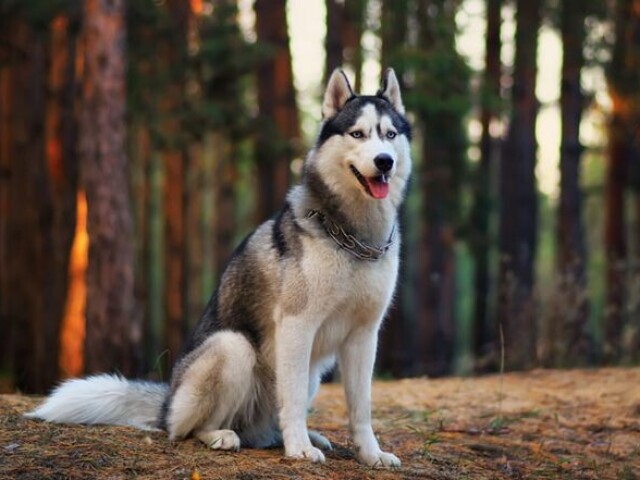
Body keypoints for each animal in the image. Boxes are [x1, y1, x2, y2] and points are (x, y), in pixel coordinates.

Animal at [26, 67, 410, 464]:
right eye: (357, 134)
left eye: (390, 134)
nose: (384, 161)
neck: (353, 238)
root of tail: (166, 402)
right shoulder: (296, 326)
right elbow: (291, 400)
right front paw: (299, 449)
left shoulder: (365, 334)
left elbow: (361, 407)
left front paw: (371, 455)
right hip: (232, 348)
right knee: (188, 429)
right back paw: (223, 435)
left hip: (310, 375)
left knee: (265, 427)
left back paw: (301, 436)